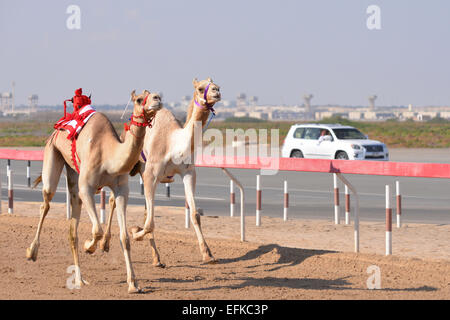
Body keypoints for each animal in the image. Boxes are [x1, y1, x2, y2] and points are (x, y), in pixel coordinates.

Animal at [25, 89, 162, 292]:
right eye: (138, 100)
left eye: (156, 94)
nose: (157, 100)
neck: (108, 155)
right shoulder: (87, 188)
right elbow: (97, 229)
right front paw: (89, 246)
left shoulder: (121, 190)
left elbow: (125, 238)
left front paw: (133, 284)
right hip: (52, 155)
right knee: (46, 203)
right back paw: (32, 252)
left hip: (73, 174)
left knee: (72, 228)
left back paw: (79, 279)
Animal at [101, 77, 221, 264]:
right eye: (201, 89)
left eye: (215, 84)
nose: (216, 91)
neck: (174, 144)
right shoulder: (152, 174)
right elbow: (150, 224)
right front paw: (135, 232)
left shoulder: (188, 173)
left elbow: (195, 214)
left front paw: (208, 255)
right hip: (127, 167)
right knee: (113, 200)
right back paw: (104, 244)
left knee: (144, 209)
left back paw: (156, 259)